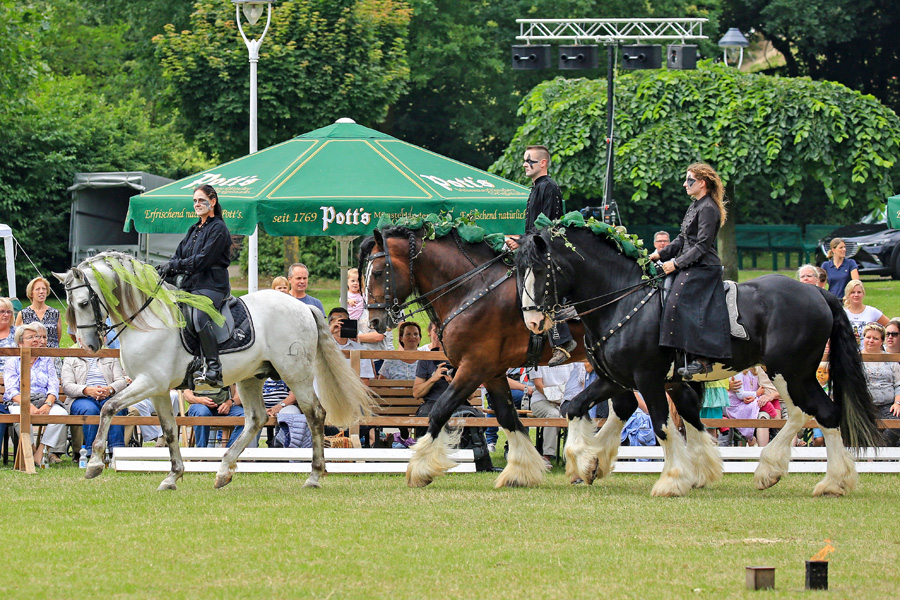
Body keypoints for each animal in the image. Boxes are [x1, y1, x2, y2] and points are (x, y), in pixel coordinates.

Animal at [55, 251, 372, 490]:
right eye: (70, 305)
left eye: (83, 302)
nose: (90, 345)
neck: (149, 320)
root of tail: (302, 307)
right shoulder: (157, 389)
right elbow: (169, 430)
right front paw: (172, 476)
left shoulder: (149, 382)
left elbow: (108, 407)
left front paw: (95, 464)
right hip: (251, 377)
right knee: (256, 420)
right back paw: (223, 471)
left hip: (296, 373)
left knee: (314, 414)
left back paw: (314, 476)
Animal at [512, 225, 880, 496]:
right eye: (519, 271)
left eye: (541, 270)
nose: (532, 322)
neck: (623, 301)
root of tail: (818, 292)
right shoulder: (616, 378)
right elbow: (575, 407)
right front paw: (590, 461)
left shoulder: (647, 379)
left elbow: (662, 425)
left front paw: (672, 479)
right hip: (791, 374)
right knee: (820, 414)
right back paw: (827, 480)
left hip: (790, 372)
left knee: (814, 413)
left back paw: (783, 472)